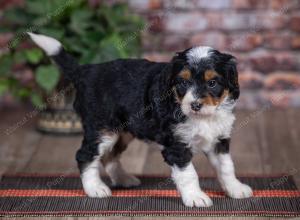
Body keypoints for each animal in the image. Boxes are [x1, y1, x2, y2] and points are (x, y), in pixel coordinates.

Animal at [28, 32, 253, 206]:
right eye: (183, 82)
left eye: (212, 82)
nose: (195, 105)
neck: (203, 117)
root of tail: (86, 70)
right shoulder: (176, 145)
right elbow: (189, 173)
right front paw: (196, 197)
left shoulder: (219, 140)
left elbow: (226, 167)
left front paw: (236, 189)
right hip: (102, 128)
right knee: (85, 155)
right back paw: (95, 188)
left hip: (123, 131)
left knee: (109, 156)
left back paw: (124, 179)